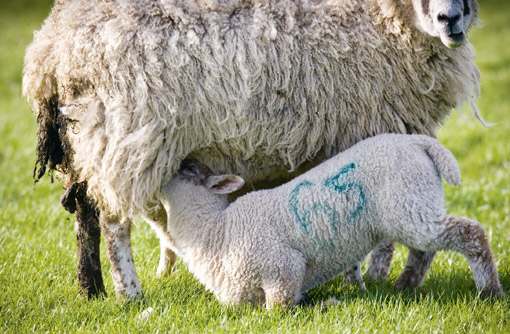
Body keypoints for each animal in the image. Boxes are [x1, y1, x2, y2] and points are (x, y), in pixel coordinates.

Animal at [24, 0, 486, 298]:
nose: (450, 19)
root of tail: (50, 49)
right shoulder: (363, 127)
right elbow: (373, 226)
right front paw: (368, 279)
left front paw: (365, 278)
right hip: (123, 139)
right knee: (114, 221)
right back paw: (129, 293)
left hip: (87, 144)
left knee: (85, 214)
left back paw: (92, 289)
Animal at [156, 134, 502, 308]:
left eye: (187, 170)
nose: (176, 162)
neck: (217, 233)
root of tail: (418, 142)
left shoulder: (282, 267)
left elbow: (278, 309)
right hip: (413, 207)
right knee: (424, 249)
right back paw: (404, 286)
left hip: (409, 202)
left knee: (470, 233)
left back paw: (490, 291)